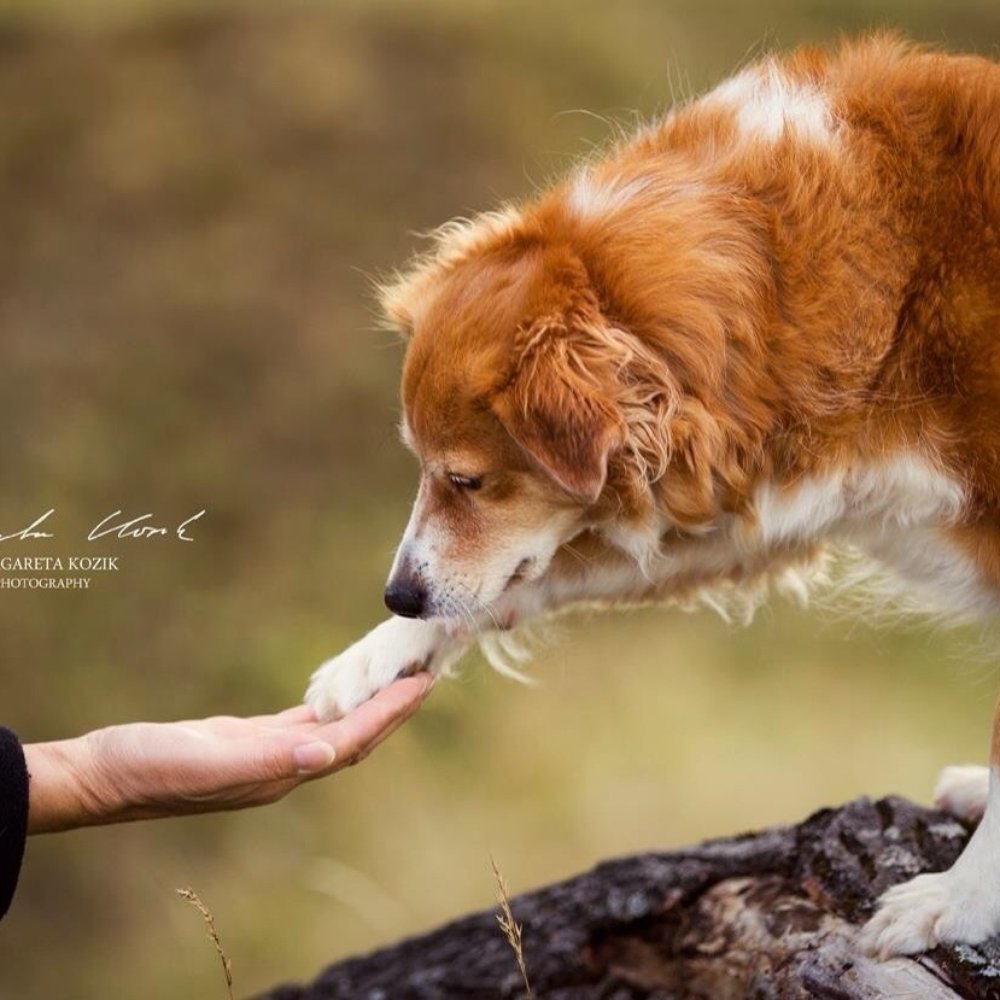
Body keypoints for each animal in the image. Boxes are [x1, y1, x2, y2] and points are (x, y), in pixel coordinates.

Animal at [304, 37, 1000, 960]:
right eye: (426, 469)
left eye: (466, 480)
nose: (398, 595)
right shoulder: (762, 494)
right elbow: (540, 571)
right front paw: (375, 657)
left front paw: (962, 898)